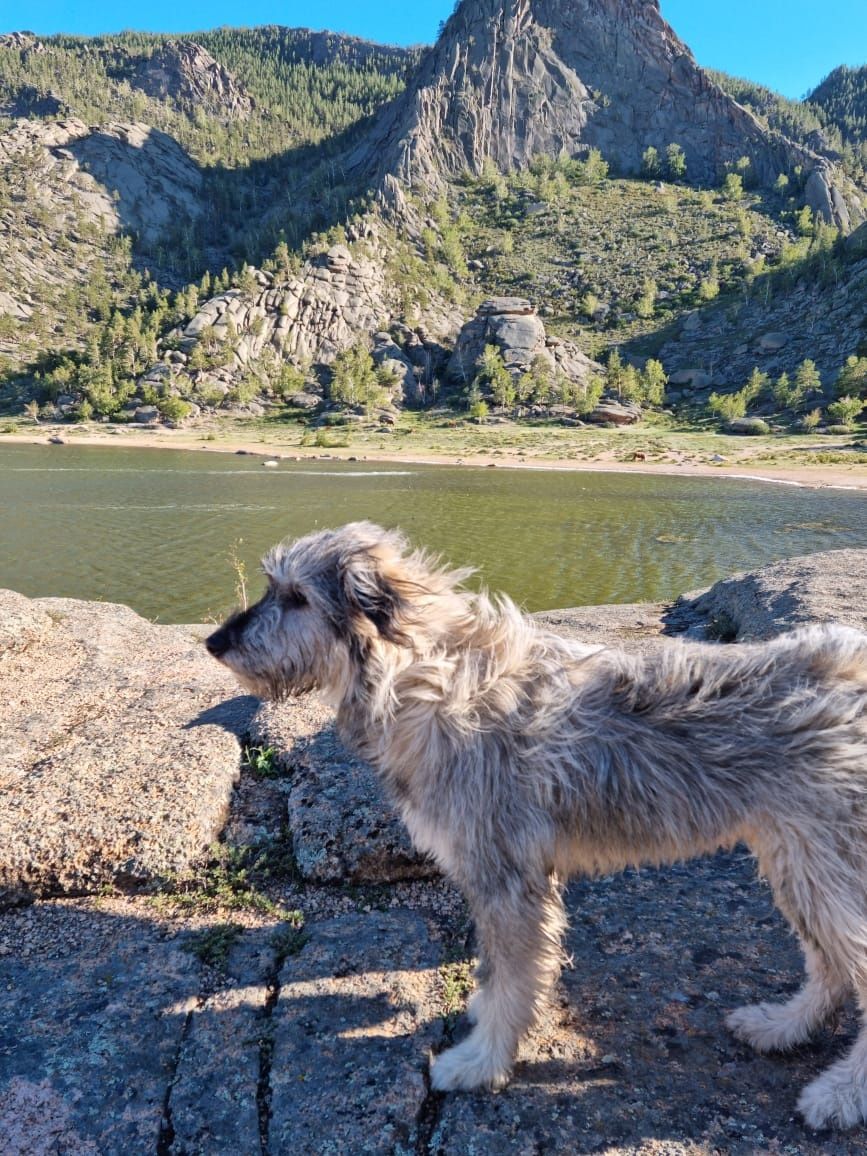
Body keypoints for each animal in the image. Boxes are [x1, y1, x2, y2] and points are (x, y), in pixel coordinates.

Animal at [206, 524, 867, 1128]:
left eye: (297, 597)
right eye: (273, 588)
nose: (215, 642)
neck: (421, 676)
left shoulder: (506, 878)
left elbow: (514, 980)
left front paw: (480, 1062)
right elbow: (500, 974)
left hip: (823, 863)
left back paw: (840, 1094)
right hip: (797, 861)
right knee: (830, 965)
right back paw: (783, 1026)